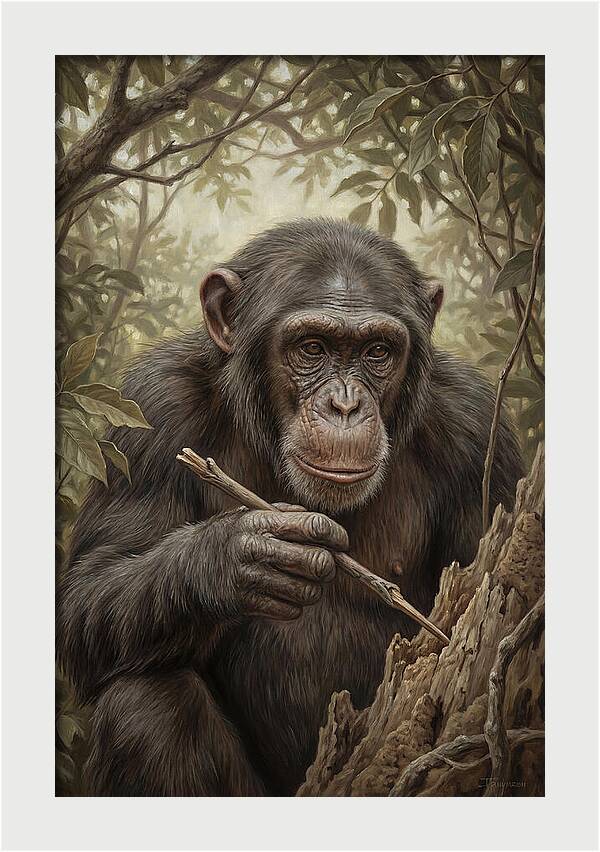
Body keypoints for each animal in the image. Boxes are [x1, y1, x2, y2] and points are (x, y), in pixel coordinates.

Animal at [56, 218, 523, 796]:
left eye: (377, 353)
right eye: (312, 347)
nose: (344, 405)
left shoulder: (479, 434)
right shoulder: (151, 409)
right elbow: (88, 591)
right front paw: (240, 557)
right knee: (145, 703)